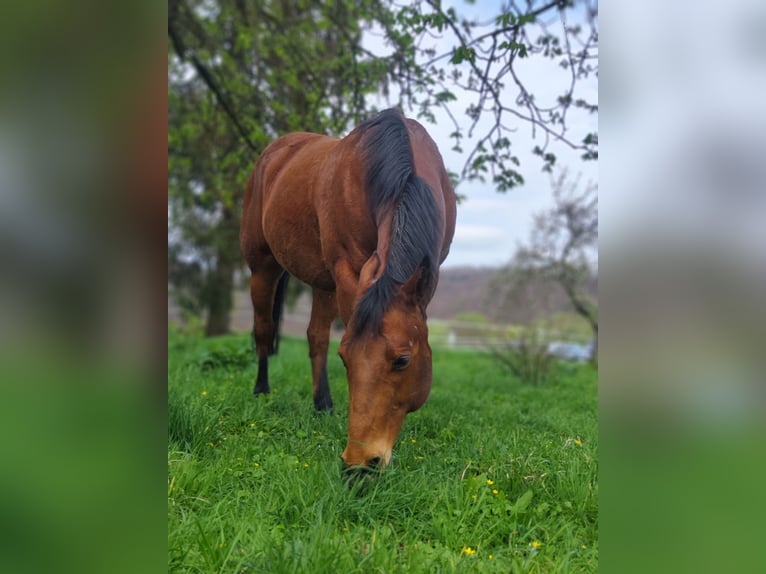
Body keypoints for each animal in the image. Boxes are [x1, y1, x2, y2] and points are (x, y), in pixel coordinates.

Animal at [240, 108, 456, 472]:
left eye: (402, 360)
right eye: (345, 358)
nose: (359, 466)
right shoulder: (347, 272)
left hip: (322, 281)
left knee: (315, 336)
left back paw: (322, 404)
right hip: (263, 268)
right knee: (264, 329)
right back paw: (260, 390)